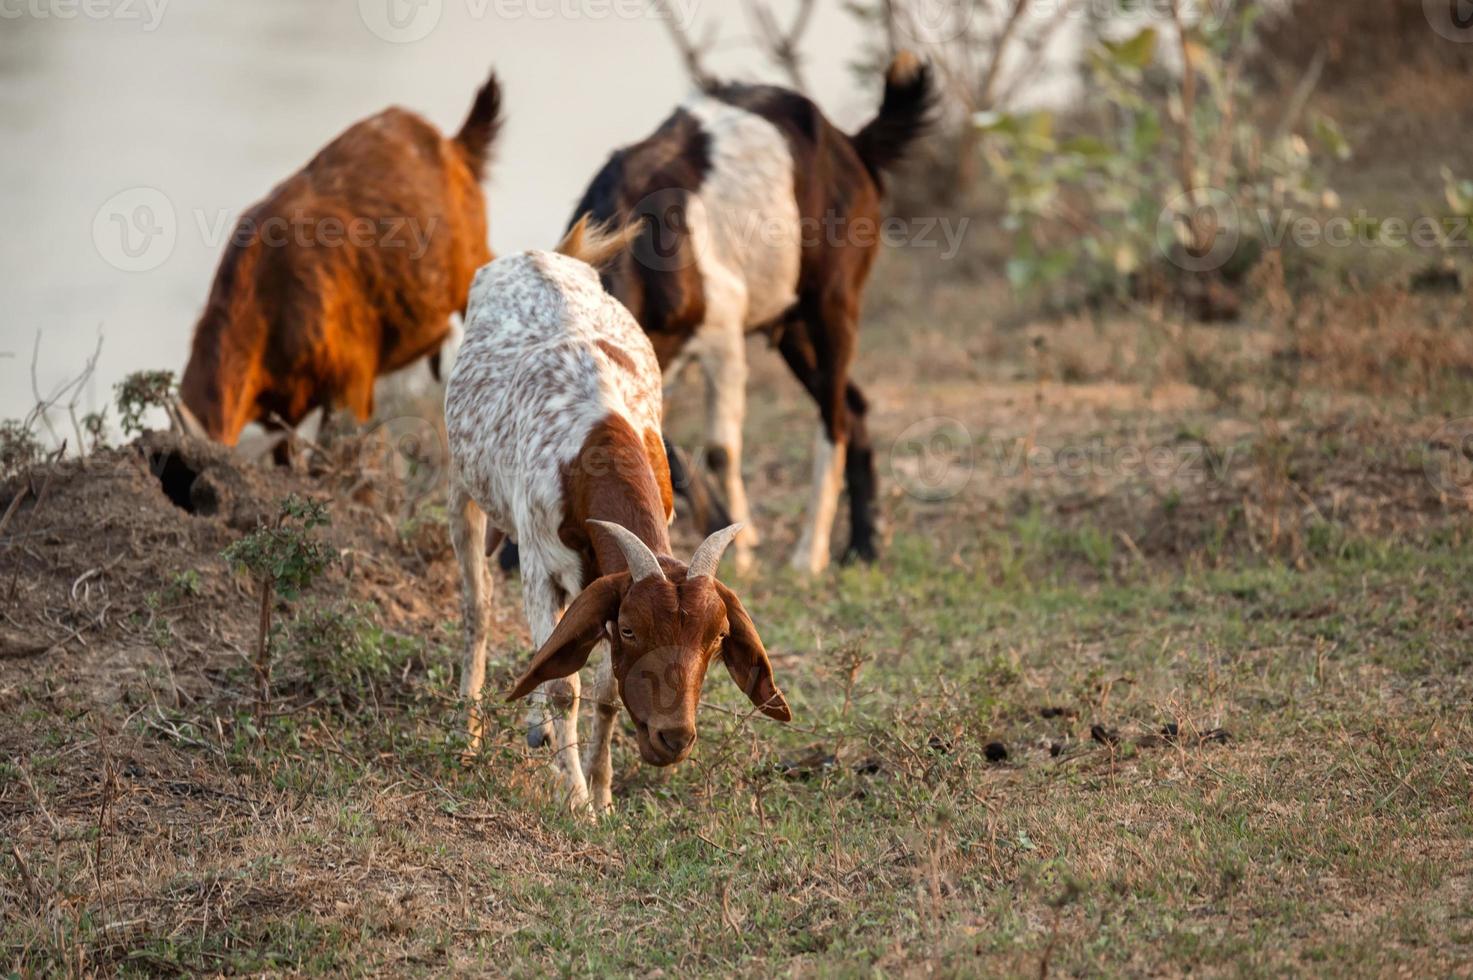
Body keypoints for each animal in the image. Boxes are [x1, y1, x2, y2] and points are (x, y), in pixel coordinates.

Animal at [562, 51, 930, 574]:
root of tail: (851, 144)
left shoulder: (722, 335)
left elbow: (719, 448)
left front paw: (740, 543)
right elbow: (662, 446)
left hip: (833, 302)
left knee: (834, 416)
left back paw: (810, 554)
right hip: (791, 327)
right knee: (854, 405)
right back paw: (864, 544)